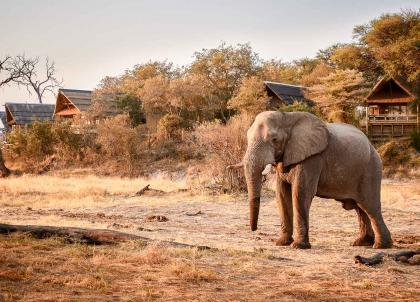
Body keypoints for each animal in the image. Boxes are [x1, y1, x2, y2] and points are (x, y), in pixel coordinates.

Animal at [231, 111, 392, 250]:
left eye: (274, 140)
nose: (254, 229)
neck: (287, 117)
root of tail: (372, 145)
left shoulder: (312, 158)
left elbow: (300, 192)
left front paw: (298, 246)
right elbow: (282, 194)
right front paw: (281, 243)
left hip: (371, 170)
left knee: (370, 206)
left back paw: (381, 246)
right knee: (360, 208)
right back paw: (361, 243)